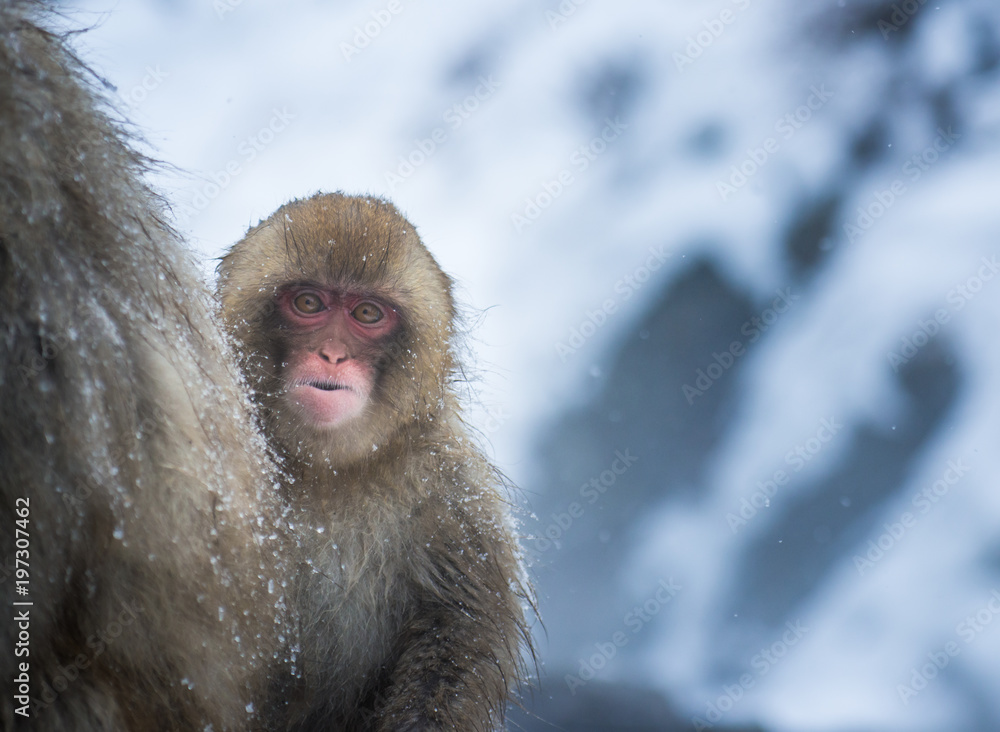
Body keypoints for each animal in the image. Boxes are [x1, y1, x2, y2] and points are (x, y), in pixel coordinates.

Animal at [217, 192, 534, 731]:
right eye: (309, 303)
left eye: (367, 313)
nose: (332, 355)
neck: (326, 470)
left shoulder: (455, 494)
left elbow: (456, 637)